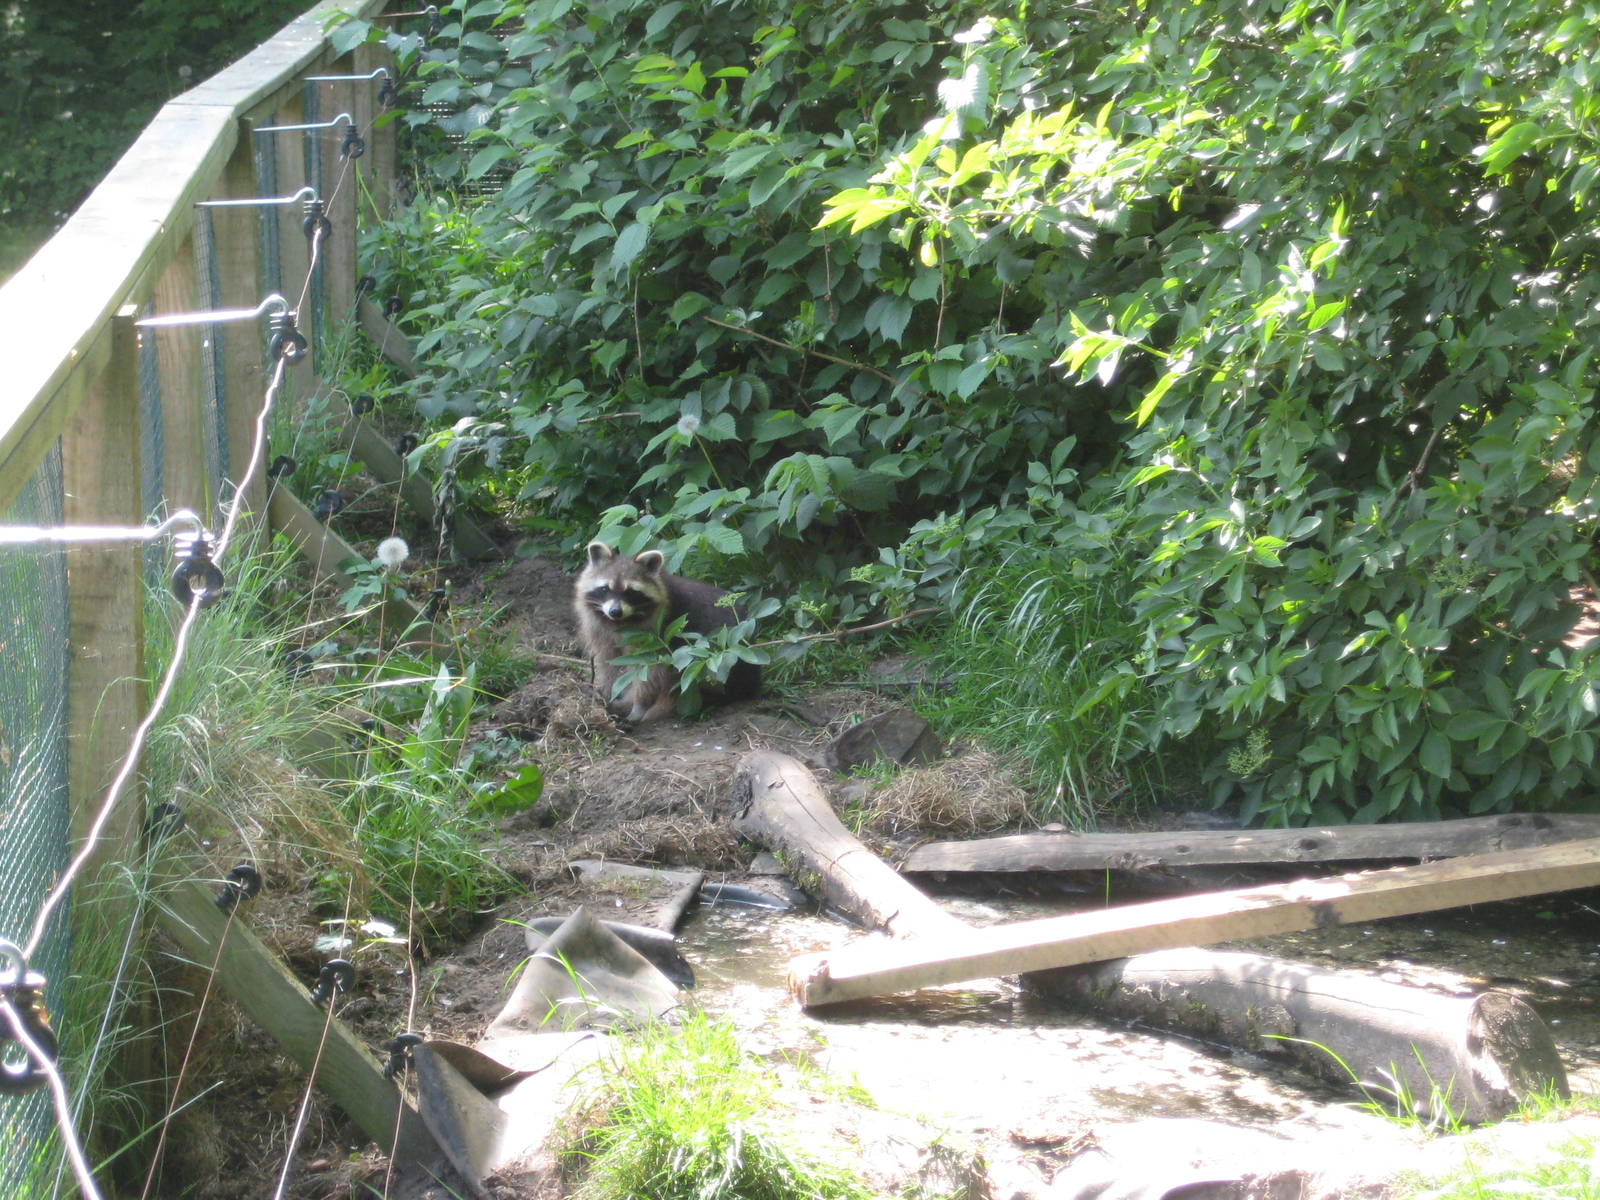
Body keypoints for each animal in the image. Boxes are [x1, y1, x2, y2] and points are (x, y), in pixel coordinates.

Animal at [573, 540, 761, 723]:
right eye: (605, 588)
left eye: (631, 592)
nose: (615, 611)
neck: (622, 621)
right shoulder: (601, 630)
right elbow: (607, 662)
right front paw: (608, 692)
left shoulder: (656, 635)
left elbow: (648, 672)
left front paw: (638, 706)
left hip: (721, 664)